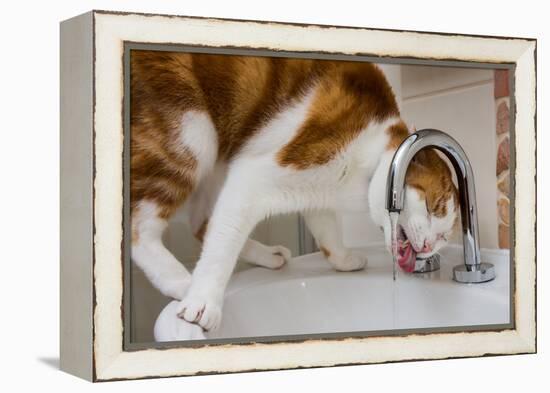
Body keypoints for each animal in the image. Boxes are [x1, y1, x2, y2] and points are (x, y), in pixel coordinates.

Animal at [130, 49, 462, 330]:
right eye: (433, 206)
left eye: (444, 237)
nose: (428, 246)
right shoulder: (255, 175)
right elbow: (222, 245)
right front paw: (203, 301)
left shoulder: (317, 191)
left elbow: (327, 230)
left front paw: (345, 260)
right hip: (190, 133)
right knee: (140, 228)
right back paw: (184, 283)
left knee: (203, 222)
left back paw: (268, 256)